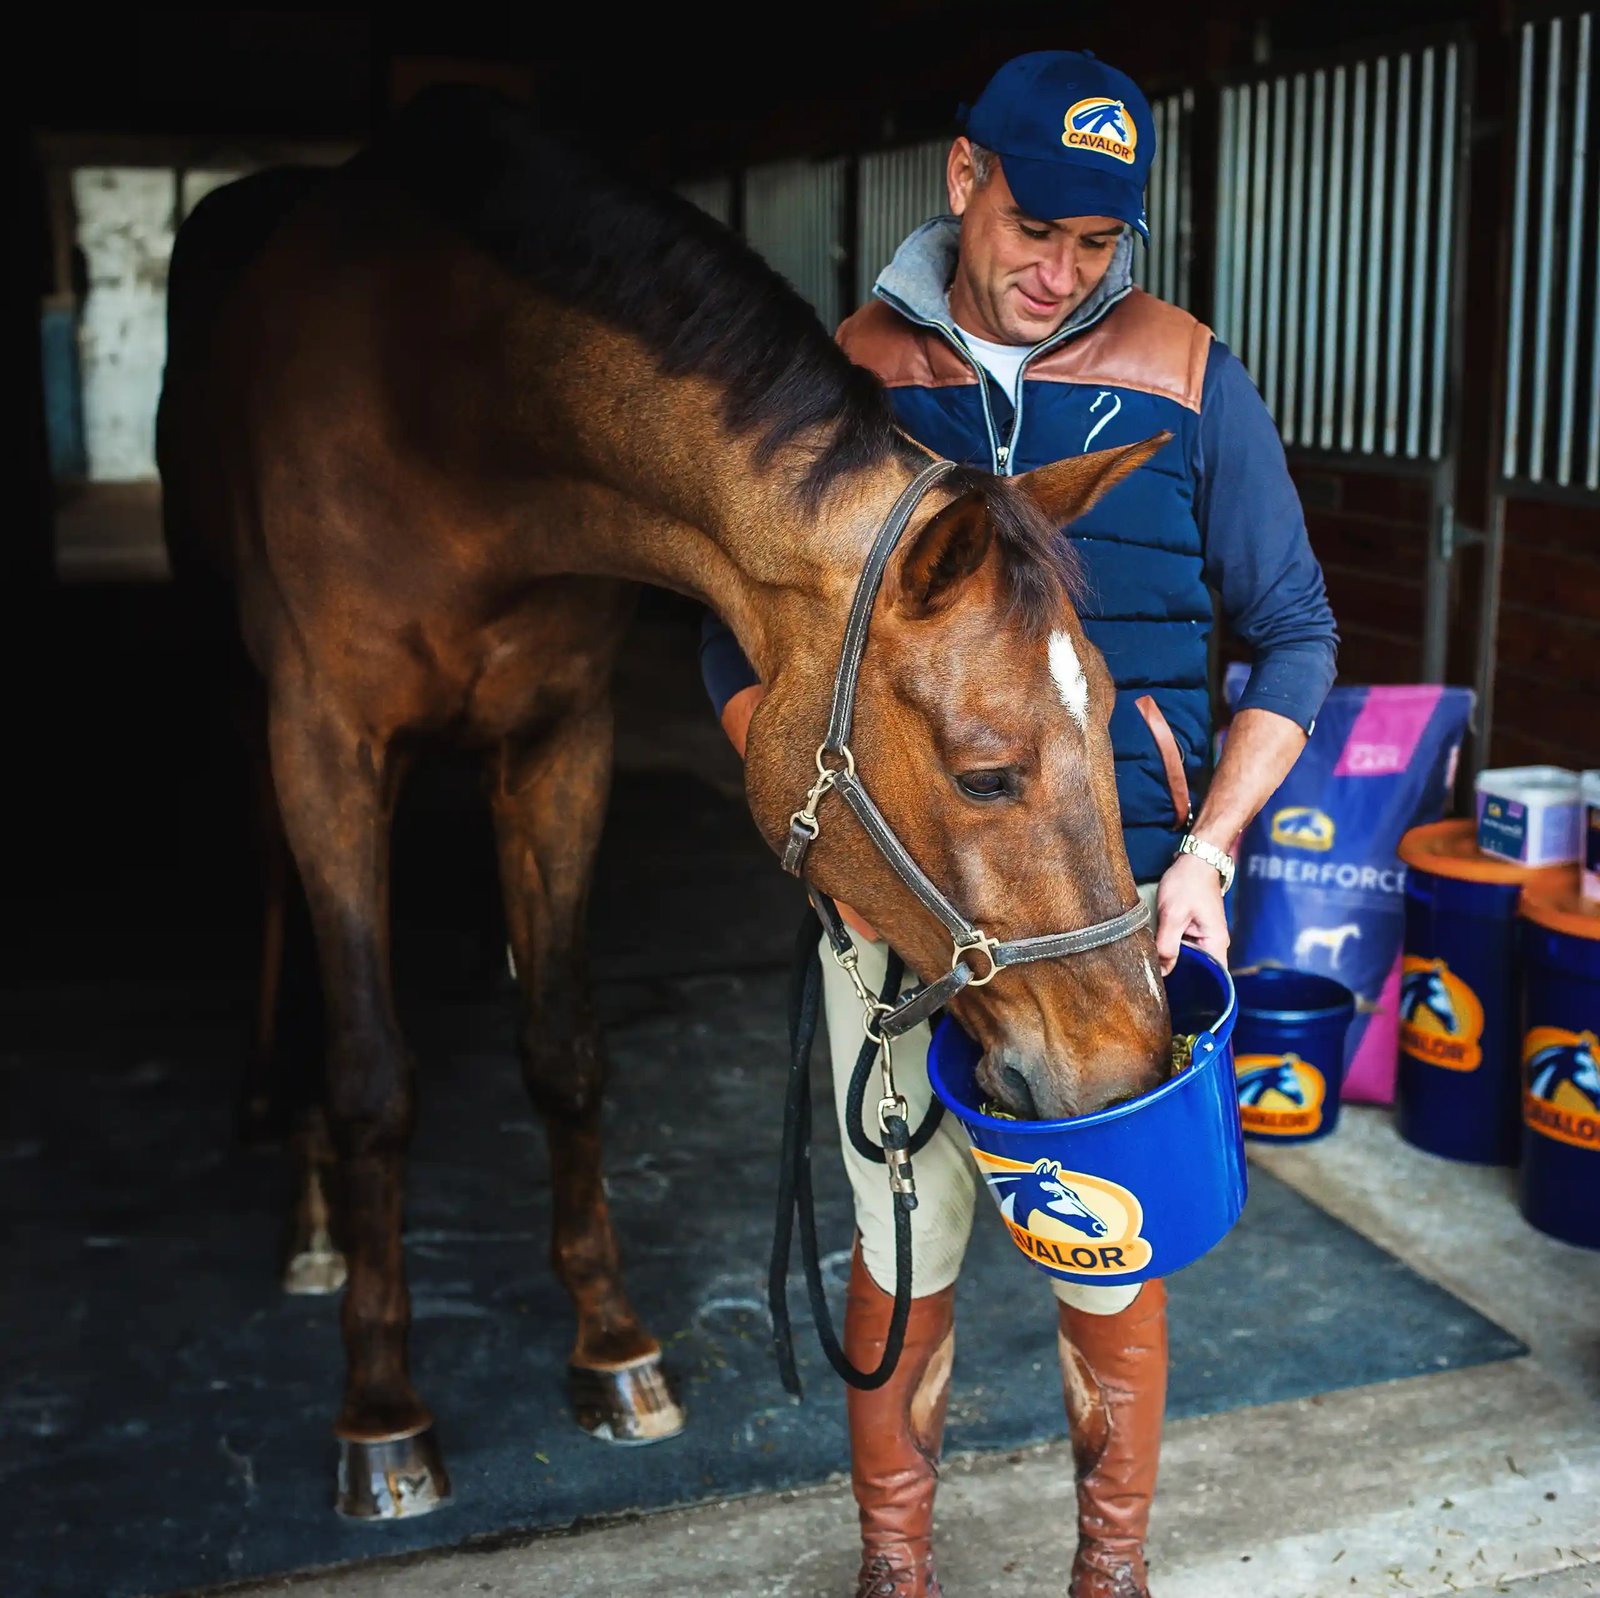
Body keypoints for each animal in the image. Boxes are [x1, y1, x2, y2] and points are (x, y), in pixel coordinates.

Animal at [155, 83, 1171, 1517]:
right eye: (987, 771)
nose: (1131, 1062)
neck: (451, 406)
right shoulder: (327, 743)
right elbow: (370, 1074)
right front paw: (383, 1411)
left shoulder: (561, 743)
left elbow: (565, 1044)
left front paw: (612, 1346)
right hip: (249, 706)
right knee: (276, 911)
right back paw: (295, 1188)